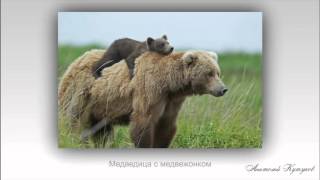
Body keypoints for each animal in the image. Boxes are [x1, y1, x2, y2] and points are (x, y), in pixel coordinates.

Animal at [58, 49, 228, 148]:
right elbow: (144, 122)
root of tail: (75, 61)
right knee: (74, 121)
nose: (223, 89)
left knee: (102, 131)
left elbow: (166, 126)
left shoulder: (171, 101)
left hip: (101, 106)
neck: (169, 84)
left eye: (218, 72)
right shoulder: (149, 90)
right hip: (81, 92)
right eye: (209, 73)